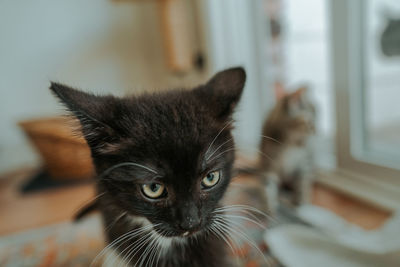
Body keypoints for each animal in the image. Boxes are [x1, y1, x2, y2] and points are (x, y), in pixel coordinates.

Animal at [260, 87, 316, 215]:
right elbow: (268, 183)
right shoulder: (268, 160)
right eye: (310, 123)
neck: (289, 143)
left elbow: (302, 182)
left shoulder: (304, 161)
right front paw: (270, 207)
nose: (316, 130)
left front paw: (299, 201)